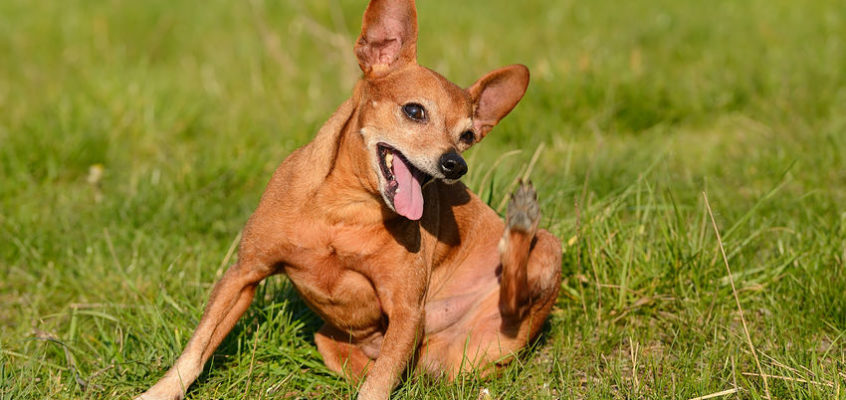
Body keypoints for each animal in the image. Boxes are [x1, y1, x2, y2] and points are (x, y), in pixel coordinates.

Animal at [137, 0, 564, 400]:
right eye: (414, 111)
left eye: (468, 136)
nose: (455, 164)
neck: (344, 212)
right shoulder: (243, 275)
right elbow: (197, 347)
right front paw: (160, 391)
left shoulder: (406, 311)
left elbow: (378, 385)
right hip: (330, 341)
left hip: (542, 260)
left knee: (513, 298)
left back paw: (521, 222)